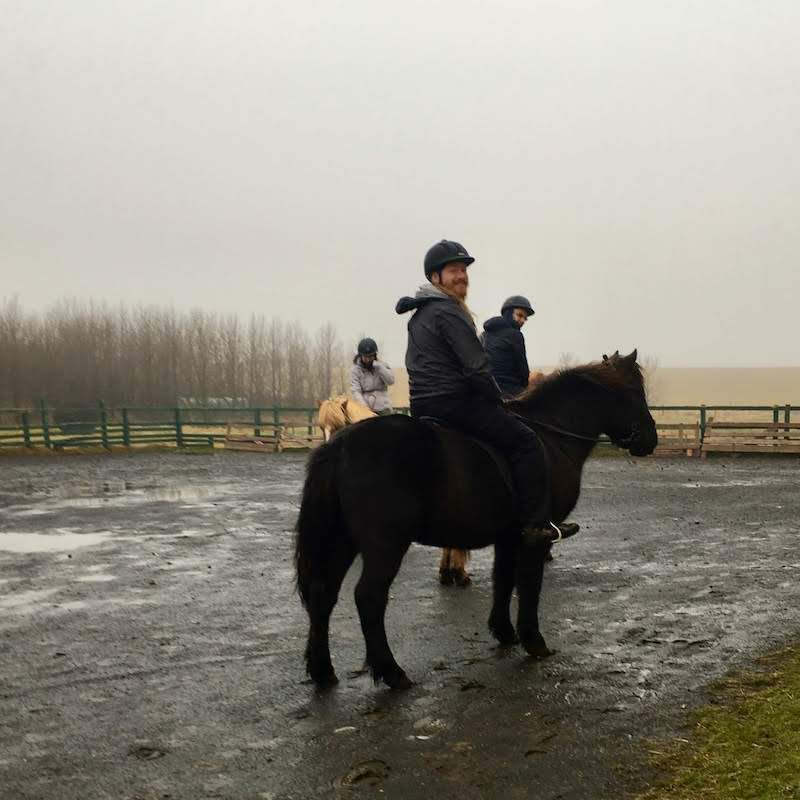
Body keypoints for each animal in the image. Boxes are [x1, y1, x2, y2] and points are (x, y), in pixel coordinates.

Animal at [294, 350, 656, 688]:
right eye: (636, 392)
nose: (650, 440)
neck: (551, 436)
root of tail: (340, 445)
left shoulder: (510, 535)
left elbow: (503, 580)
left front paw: (504, 632)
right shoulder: (535, 537)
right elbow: (529, 585)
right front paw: (534, 641)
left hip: (341, 540)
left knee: (322, 594)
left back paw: (323, 671)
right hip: (385, 544)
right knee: (369, 597)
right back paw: (392, 673)